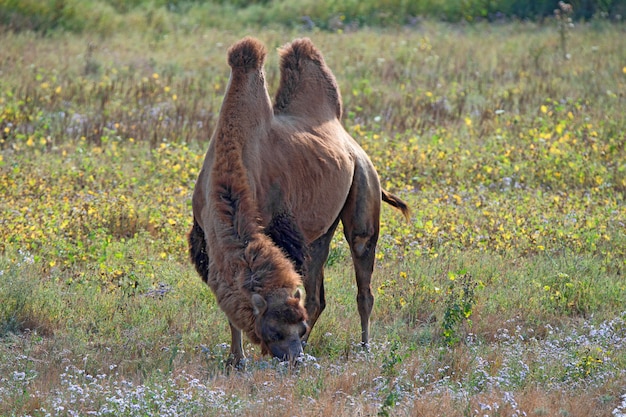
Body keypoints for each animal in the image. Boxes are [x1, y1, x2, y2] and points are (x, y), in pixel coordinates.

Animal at [188, 37, 408, 366]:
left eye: (297, 325)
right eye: (273, 331)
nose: (295, 358)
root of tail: (349, 140)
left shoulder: (281, 227)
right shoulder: (205, 236)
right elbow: (229, 305)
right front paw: (235, 359)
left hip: (364, 181)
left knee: (362, 274)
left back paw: (365, 348)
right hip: (321, 229)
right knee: (318, 292)